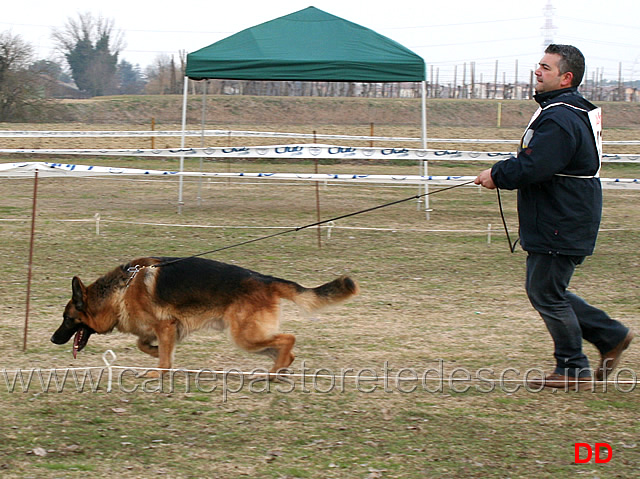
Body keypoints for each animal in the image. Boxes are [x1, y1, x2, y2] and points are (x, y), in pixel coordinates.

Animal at [50, 256, 360, 376]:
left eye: (67, 318)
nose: (53, 339)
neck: (121, 290)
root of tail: (265, 279)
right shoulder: (165, 328)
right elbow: (144, 344)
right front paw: (155, 352)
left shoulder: (165, 325)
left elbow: (162, 361)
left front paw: (158, 369)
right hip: (252, 337)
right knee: (286, 348)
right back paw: (280, 369)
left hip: (245, 336)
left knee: (289, 338)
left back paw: (274, 373)